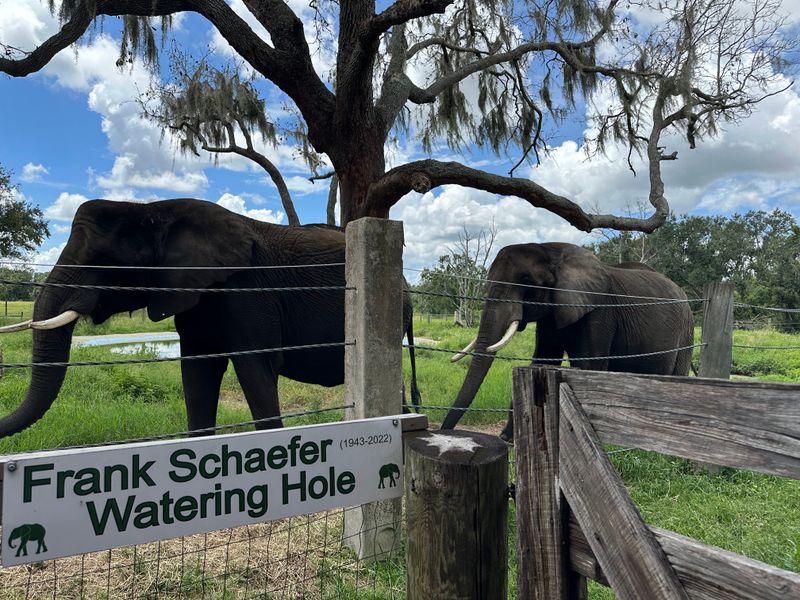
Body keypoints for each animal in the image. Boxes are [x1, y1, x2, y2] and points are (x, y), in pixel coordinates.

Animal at [441, 242, 693, 441]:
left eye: (526, 281)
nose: (444, 432)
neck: (552, 251)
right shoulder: (552, 311)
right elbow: (543, 360)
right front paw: (509, 437)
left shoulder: (601, 311)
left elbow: (589, 366)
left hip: (687, 330)